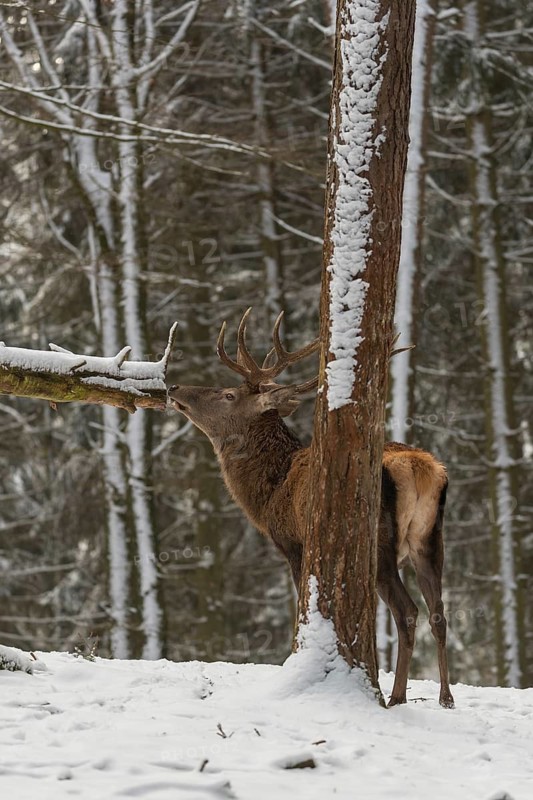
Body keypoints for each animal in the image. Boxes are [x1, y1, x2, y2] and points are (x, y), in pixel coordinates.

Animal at [168, 309, 454, 708]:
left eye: (228, 394)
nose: (174, 389)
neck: (268, 495)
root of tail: (419, 469)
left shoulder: (293, 544)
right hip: (430, 539)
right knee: (439, 613)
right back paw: (446, 697)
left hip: (379, 545)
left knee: (408, 611)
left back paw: (396, 697)